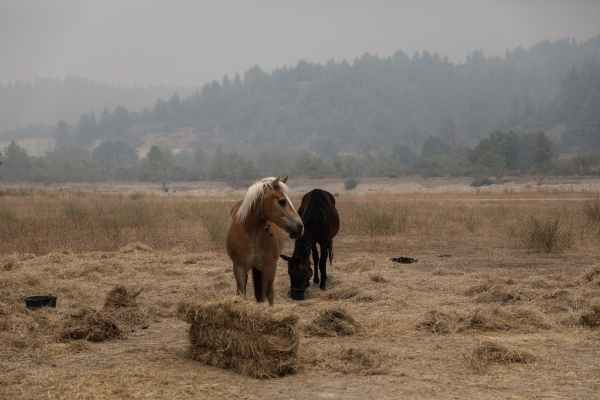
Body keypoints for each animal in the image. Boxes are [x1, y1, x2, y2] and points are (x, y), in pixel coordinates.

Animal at [226, 176, 304, 306]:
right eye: (282, 201)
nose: (300, 227)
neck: (252, 233)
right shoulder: (239, 268)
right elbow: (241, 294)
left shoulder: (270, 267)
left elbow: (269, 294)